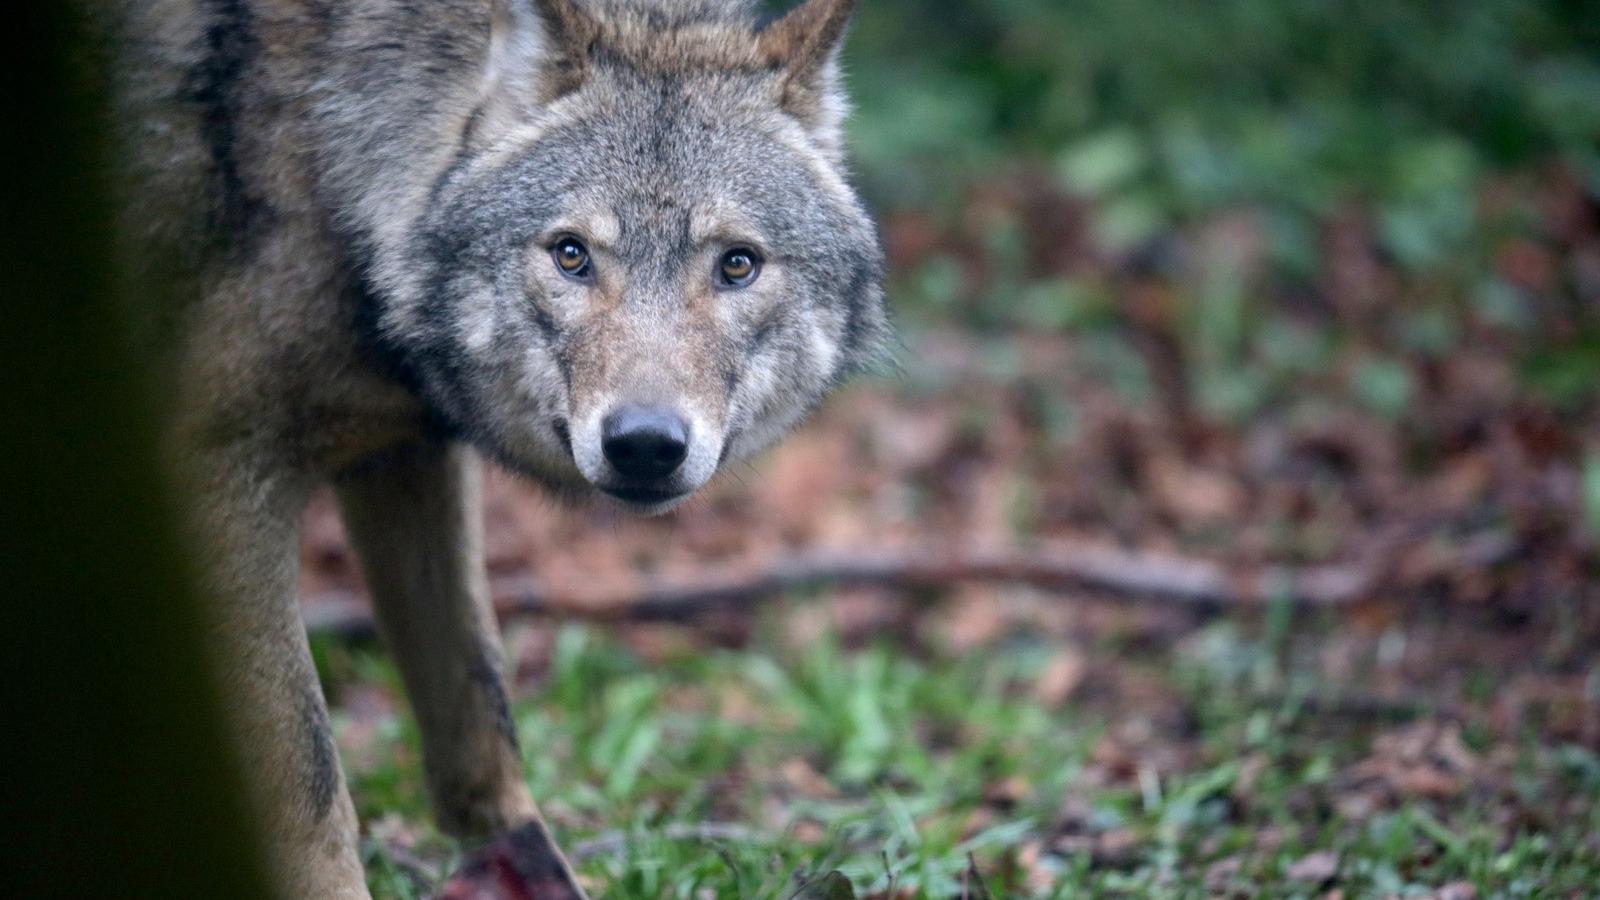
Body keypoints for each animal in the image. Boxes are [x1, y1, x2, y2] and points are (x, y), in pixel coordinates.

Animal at [108, 0, 896, 890]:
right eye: (571, 254)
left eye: (736, 264)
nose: (645, 444)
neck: (329, 140)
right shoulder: (220, 470)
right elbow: (307, 775)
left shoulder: (406, 454)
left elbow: (478, 709)